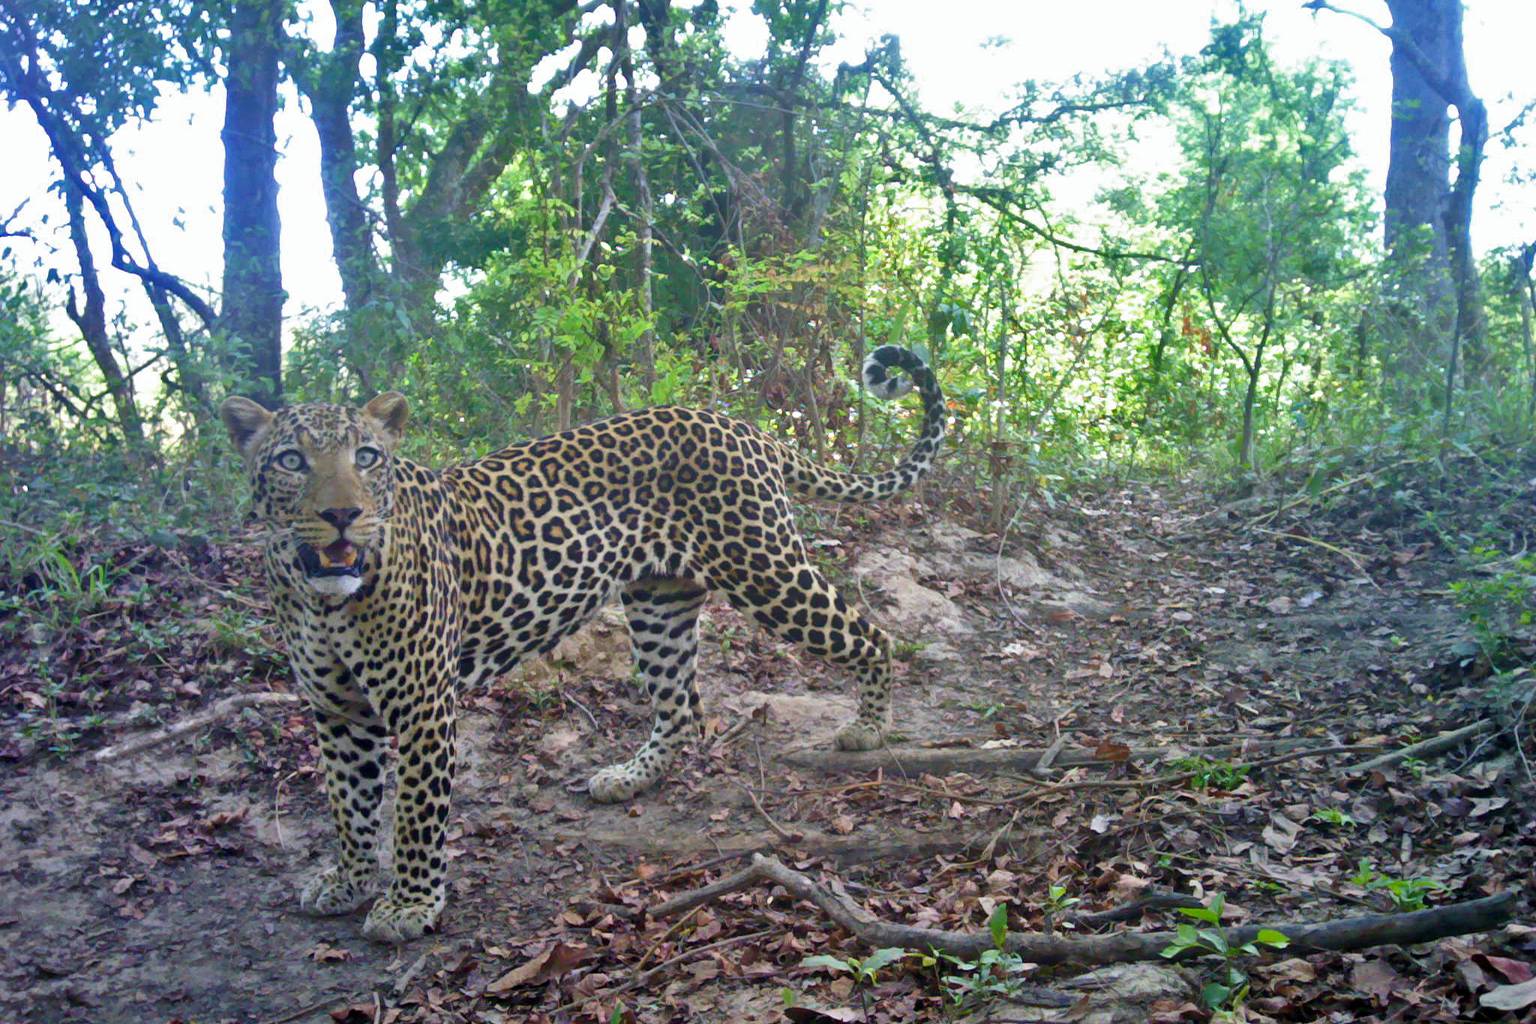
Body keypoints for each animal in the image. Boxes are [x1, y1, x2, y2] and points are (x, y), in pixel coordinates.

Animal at [219, 344, 944, 943]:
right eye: (291, 462)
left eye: (366, 458)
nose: (342, 514)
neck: (323, 598)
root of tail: (742, 426)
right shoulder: (337, 711)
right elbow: (349, 804)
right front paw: (346, 881)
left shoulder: (424, 707)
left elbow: (416, 811)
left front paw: (410, 904)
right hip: (659, 602)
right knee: (681, 705)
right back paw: (630, 777)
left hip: (765, 569)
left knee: (872, 635)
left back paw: (869, 728)